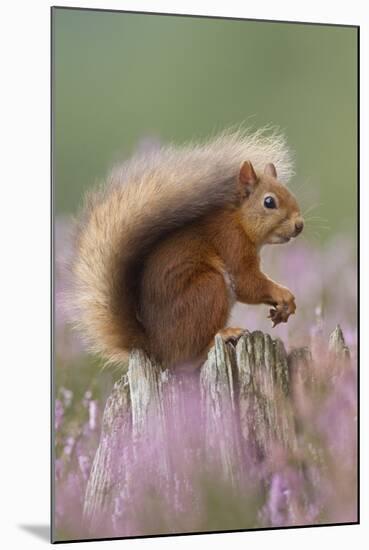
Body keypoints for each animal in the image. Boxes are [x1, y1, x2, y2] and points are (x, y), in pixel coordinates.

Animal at [69, 131, 302, 368]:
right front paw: (283, 293)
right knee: (192, 352)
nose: (299, 225)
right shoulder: (232, 243)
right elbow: (247, 283)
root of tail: (158, 349)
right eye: (269, 202)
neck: (238, 220)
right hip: (209, 289)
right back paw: (224, 334)